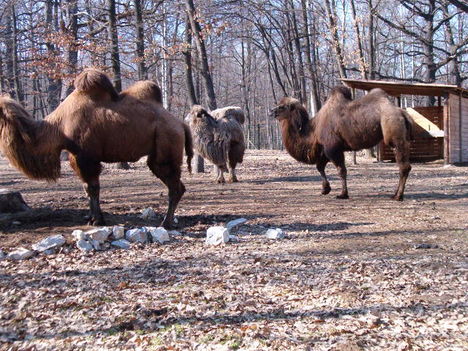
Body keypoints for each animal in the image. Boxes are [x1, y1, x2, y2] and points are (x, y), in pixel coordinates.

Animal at [0, 69, 194, 228]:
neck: (58, 127)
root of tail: (182, 124)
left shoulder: (87, 156)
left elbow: (93, 187)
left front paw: (97, 220)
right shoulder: (76, 156)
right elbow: (87, 187)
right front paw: (92, 218)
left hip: (166, 145)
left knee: (174, 186)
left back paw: (166, 223)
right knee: (178, 185)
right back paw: (168, 221)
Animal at [270, 86, 414, 201]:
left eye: (281, 107)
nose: (271, 111)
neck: (313, 129)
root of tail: (402, 113)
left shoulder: (332, 148)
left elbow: (341, 170)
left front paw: (343, 194)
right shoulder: (325, 149)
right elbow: (320, 167)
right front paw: (325, 189)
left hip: (395, 134)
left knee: (404, 166)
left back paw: (398, 196)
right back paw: (395, 194)